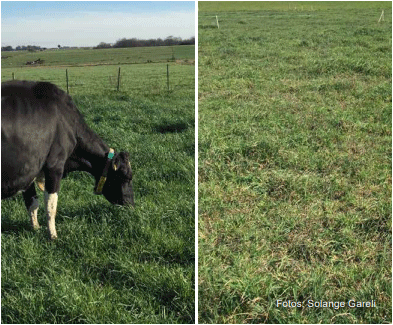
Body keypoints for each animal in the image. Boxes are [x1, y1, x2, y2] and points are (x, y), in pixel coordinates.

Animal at [1, 80, 135, 239]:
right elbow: (51, 206)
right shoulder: (54, 165)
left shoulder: (29, 170)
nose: (132, 206)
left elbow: (32, 203)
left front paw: (36, 228)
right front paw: (53, 236)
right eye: (126, 177)